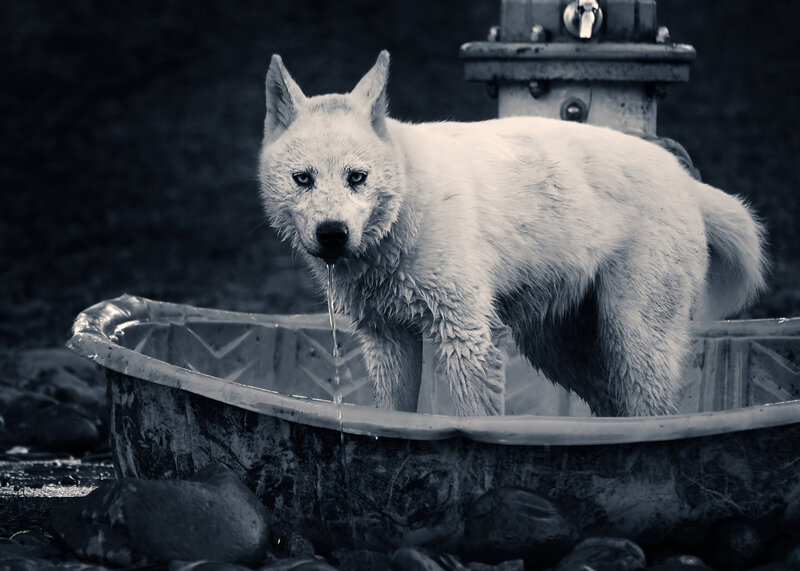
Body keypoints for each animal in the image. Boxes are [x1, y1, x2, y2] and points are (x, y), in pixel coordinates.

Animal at [258, 51, 767, 417]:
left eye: (357, 177)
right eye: (302, 179)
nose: (332, 234)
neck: (407, 209)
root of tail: (685, 182)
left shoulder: (466, 335)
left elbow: (478, 420)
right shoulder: (387, 339)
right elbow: (394, 415)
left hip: (634, 338)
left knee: (653, 413)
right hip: (561, 348)